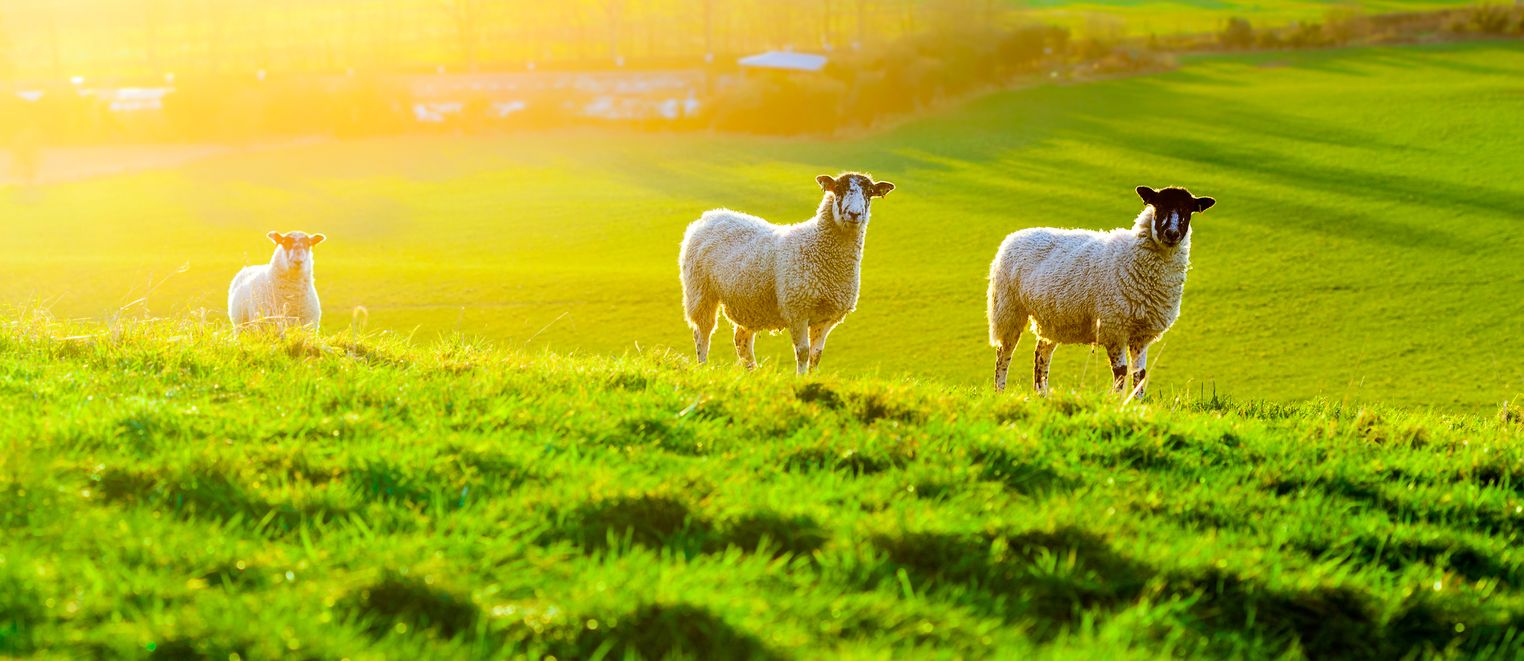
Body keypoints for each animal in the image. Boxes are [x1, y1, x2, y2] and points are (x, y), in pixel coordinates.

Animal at [680, 172, 896, 374]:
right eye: (839, 189)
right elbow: (803, 352)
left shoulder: (827, 317)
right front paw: (800, 378)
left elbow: (816, 355)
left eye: (869, 192)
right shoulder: (797, 310)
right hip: (700, 291)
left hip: (748, 303)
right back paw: (703, 366)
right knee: (702, 332)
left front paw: (811, 378)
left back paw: (753, 373)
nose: (854, 214)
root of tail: (710, 215)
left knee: (741, 340)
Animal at [987, 186, 1215, 397]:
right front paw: (1117, 401)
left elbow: (1140, 374)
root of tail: (1015, 235)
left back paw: (1041, 394)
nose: (1172, 234)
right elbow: (1121, 371)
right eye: (1159, 206)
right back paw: (1000, 392)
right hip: (1007, 308)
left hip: (1051, 319)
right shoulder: (1114, 327)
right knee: (1003, 354)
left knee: (1041, 354)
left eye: (1188, 210)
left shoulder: (1142, 334)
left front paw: (1137, 403)